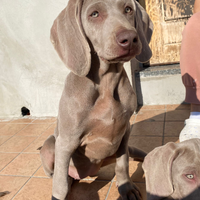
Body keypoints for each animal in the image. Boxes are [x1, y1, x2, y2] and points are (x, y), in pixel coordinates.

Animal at [40, 0, 153, 199]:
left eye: (128, 9)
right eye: (94, 14)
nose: (130, 38)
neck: (107, 83)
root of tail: (88, 173)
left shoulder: (125, 131)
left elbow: (122, 163)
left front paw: (126, 187)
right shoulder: (66, 142)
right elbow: (60, 184)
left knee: (134, 153)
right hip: (50, 145)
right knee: (59, 174)